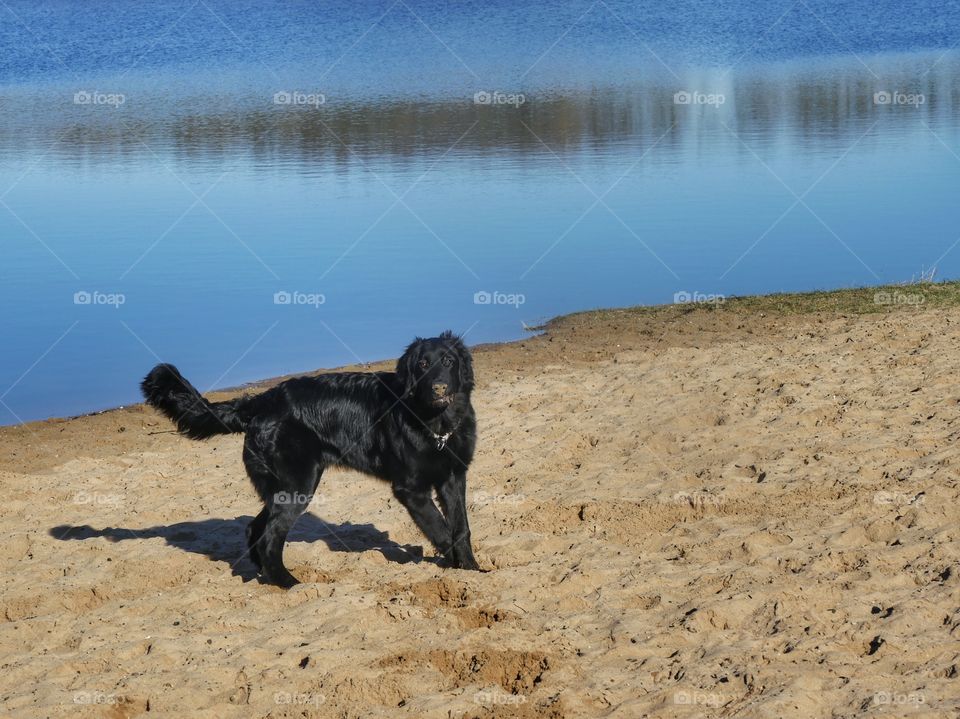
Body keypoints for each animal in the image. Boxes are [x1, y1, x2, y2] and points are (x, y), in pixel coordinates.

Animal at [142, 334, 480, 588]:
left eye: (448, 362)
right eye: (422, 364)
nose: (439, 387)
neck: (434, 425)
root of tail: (260, 402)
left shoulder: (453, 477)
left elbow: (461, 527)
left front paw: (474, 570)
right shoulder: (411, 489)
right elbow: (441, 529)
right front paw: (457, 567)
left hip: (284, 488)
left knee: (255, 528)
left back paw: (264, 576)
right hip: (298, 486)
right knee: (268, 538)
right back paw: (289, 584)